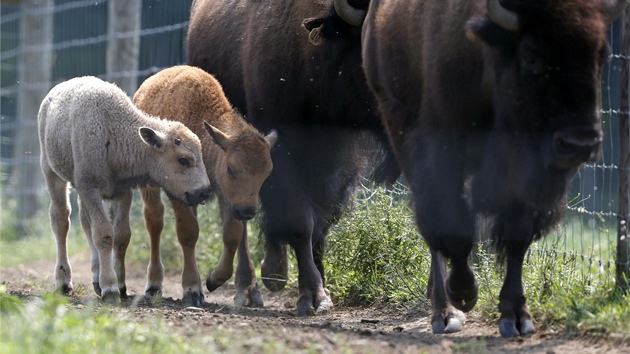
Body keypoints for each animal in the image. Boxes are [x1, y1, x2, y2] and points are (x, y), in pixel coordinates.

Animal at [39, 76, 214, 302]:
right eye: (183, 160)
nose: (205, 191)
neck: (114, 131)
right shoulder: (89, 187)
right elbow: (104, 234)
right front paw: (110, 288)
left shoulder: (122, 192)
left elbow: (121, 235)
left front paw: (120, 286)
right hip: (51, 172)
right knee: (61, 219)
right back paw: (63, 283)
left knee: (85, 223)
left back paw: (95, 277)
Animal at [133, 64, 276, 306]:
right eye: (230, 168)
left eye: (267, 173)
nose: (248, 211)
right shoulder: (179, 193)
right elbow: (188, 232)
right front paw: (192, 290)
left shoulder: (225, 196)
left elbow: (232, 234)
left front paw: (213, 280)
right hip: (150, 189)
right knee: (155, 222)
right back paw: (154, 286)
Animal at [186, 0, 400, 316]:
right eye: (369, 50)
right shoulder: (277, 155)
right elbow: (301, 222)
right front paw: (312, 296)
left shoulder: (340, 170)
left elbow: (320, 227)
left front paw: (323, 289)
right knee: (240, 219)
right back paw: (250, 288)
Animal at [362, 0, 628, 338]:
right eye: (531, 56)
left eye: (601, 55)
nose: (580, 144)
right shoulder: (441, 155)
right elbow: (454, 228)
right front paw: (464, 293)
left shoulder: (522, 175)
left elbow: (517, 237)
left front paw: (516, 316)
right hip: (400, 129)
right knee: (431, 225)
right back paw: (445, 312)